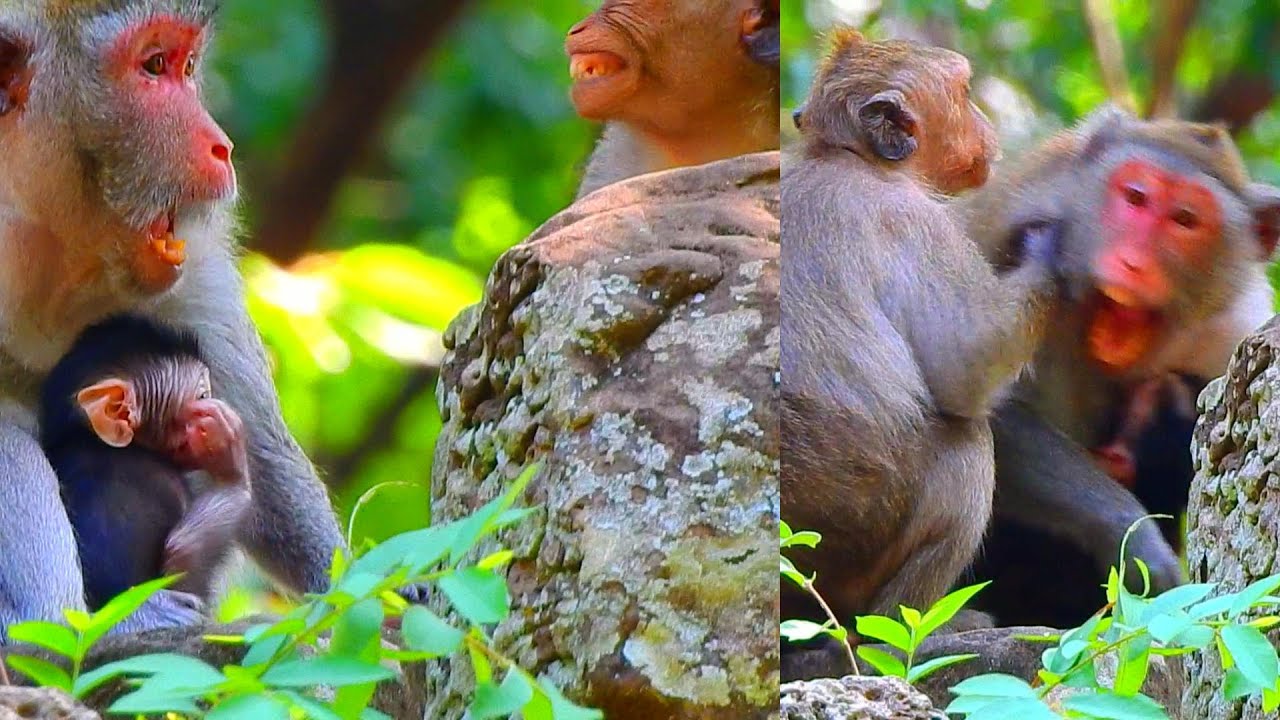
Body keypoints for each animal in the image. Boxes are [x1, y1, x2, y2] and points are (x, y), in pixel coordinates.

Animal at [780, 29, 1064, 659]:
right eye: (964, 92)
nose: (986, 123)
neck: (846, 156)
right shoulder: (915, 222)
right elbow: (968, 366)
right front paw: (1052, 250)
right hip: (853, 534)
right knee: (967, 452)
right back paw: (892, 633)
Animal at [956, 106, 1280, 627]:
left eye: (1185, 219)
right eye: (1136, 197)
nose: (1132, 262)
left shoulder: (1231, 329)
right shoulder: (1023, 240)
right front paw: (1134, 540)